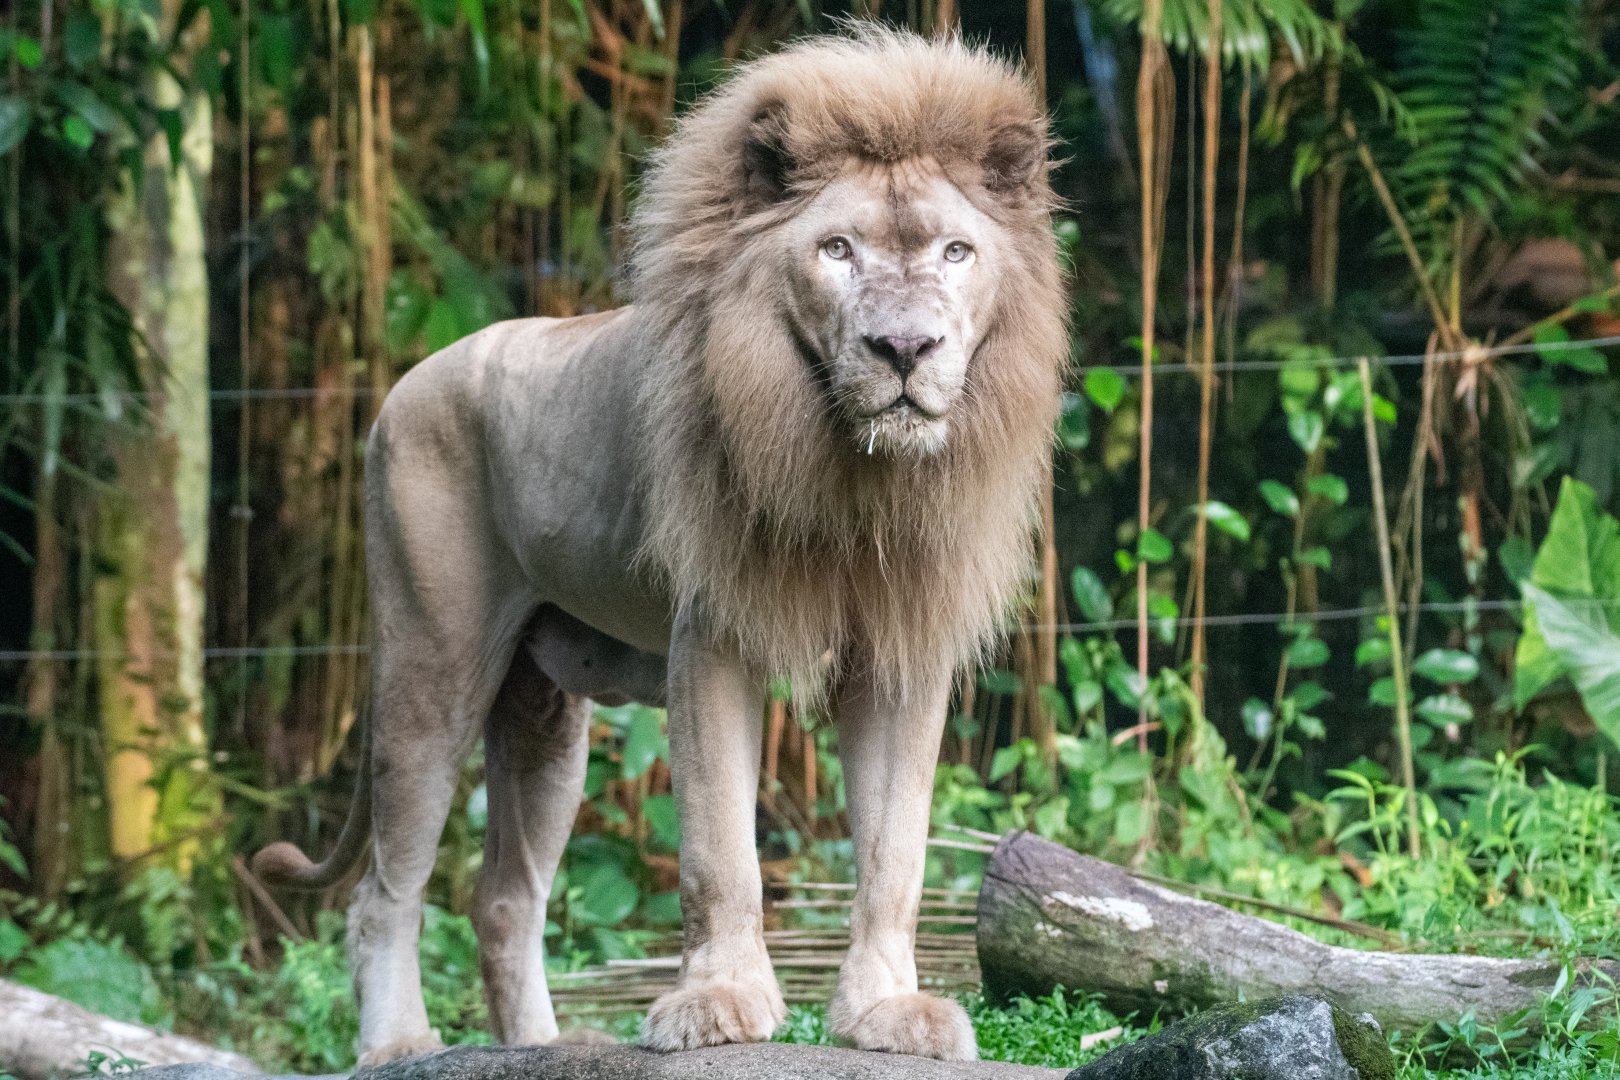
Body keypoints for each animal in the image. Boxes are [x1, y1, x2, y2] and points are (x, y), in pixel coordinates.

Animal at [252, 27, 1067, 1066]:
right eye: (837, 249)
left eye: (958, 252)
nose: (904, 349)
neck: (853, 472)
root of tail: (400, 386)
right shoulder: (712, 636)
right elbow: (720, 852)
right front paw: (717, 1007)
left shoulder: (901, 651)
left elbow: (896, 854)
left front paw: (887, 1016)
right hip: (429, 666)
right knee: (383, 893)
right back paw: (399, 1046)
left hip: (543, 717)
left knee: (505, 900)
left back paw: (546, 1048)